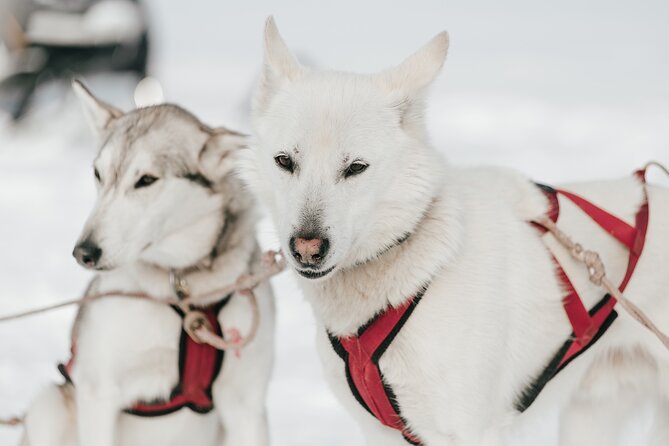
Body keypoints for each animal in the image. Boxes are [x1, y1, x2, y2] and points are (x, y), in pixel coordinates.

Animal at [22, 81, 274, 446]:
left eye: (146, 180)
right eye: (98, 174)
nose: (84, 251)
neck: (183, 291)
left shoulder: (246, 404)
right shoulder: (99, 391)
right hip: (49, 404)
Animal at [244, 17, 668, 446]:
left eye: (356, 167)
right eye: (285, 161)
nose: (307, 247)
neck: (417, 265)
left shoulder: (468, 431)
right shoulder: (379, 433)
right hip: (590, 416)